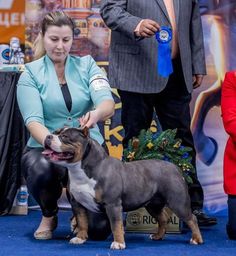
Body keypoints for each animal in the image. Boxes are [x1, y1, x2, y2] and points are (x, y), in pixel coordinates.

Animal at [43, 127, 203, 249]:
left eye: (65, 137)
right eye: (55, 132)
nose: (48, 136)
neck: (81, 169)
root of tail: (175, 167)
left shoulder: (112, 205)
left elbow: (116, 225)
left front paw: (119, 243)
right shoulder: (77, 204)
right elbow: (82, 222)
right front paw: (80, 238)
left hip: (178, 202)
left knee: (191, 218)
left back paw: (196, 239)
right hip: (153, 205)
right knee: (162, 218)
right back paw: (158, 236)